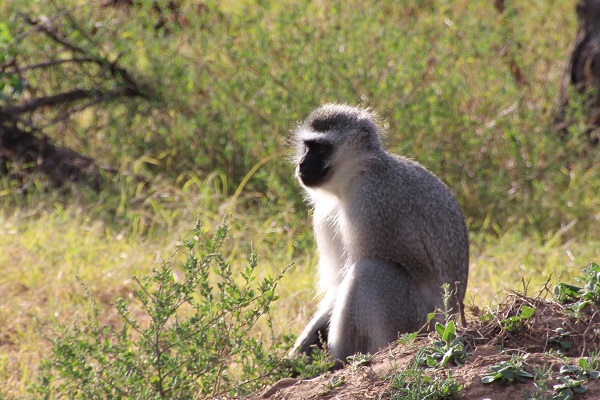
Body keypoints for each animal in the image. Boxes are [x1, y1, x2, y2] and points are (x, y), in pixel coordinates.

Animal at [290, 104, 468, 366]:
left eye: (322, 148)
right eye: (307, 146)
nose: (302, 164)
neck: (357, 174)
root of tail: (450, 323)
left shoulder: (372, 205)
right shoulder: (324, 215)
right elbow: (336, 286)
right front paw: (301, 349)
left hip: (413, 323)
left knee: (369, 270)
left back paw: (340, 360)